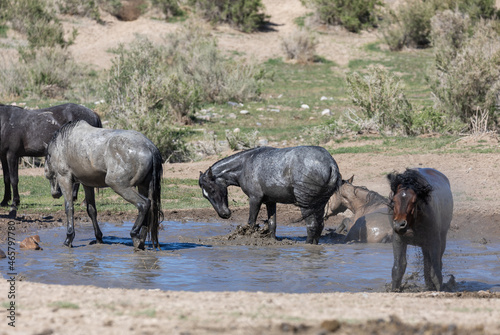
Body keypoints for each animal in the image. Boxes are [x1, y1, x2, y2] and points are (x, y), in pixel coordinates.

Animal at [44, 120, 163, 249]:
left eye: (47, 173)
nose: (55, 193)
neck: (62, 144)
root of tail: (149, 146)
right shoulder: (87, 184)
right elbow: (91, 210)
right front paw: (99, 238)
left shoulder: (64, 179)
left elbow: (69, 208)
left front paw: (68, 239)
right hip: (143, 186)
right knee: (149, 208)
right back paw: (140, 241)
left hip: (118, 185)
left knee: (143, 204)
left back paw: (135, 235)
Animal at [197, 146, 342, 245]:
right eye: (205, 196)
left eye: (212, 190)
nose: (224, 214)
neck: (245, 164)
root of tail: (330, 164)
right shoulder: (270, 201)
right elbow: (272, 223)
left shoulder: (255, 199)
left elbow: (251, 222)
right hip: (319, 204)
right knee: (319, 226)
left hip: (307, 205)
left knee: (312, 226)